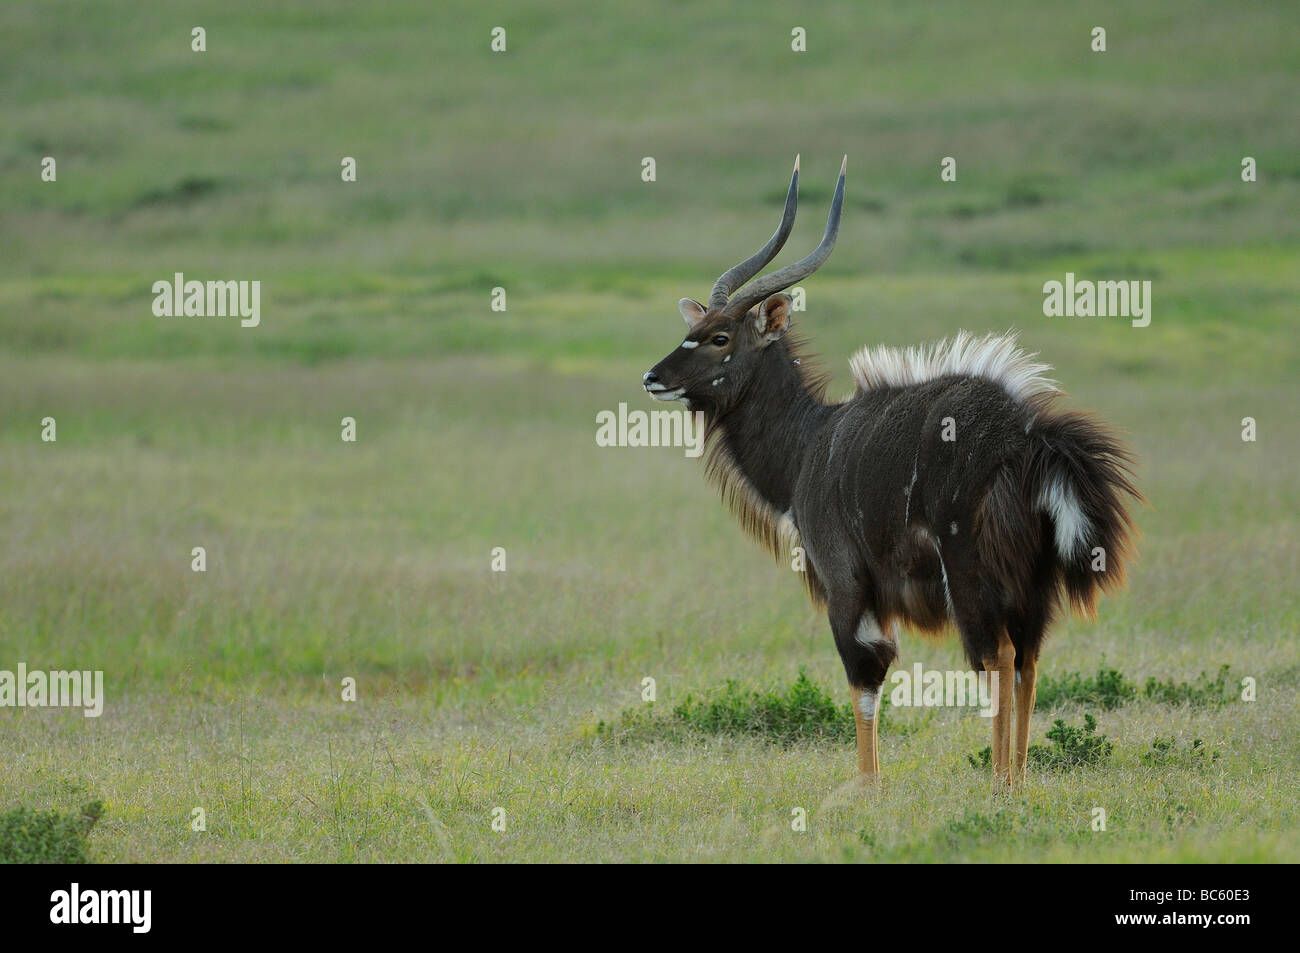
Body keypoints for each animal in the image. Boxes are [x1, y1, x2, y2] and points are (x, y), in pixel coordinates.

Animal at [639, 154, 1138, 780]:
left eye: (719, 337)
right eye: (695, 329)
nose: (652, 377)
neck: (810, 442)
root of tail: (1028, 436)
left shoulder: (846, 582)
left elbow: (865, 680)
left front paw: (867, 787)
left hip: (971, 576)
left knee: (996, 654)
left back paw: (999, 785)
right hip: (1033, 584)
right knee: (1028, 658)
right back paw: (1019, 780)